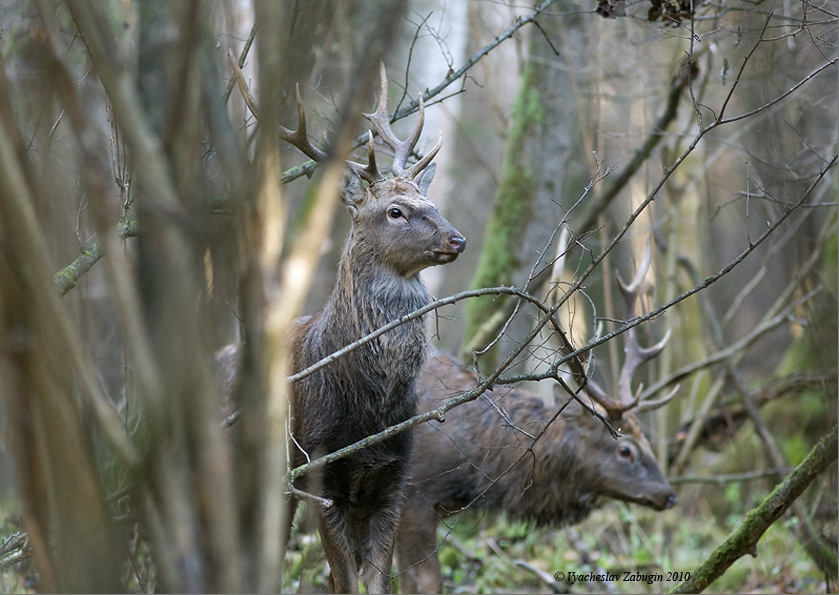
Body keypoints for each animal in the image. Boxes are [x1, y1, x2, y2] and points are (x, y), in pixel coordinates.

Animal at [220, 65, 466, 595]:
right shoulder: (321, 473)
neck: (370, 408)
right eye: (395, 211)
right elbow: (347, 582)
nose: (456, 238)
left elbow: (373, 583)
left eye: (429, 200)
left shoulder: (393, 477)